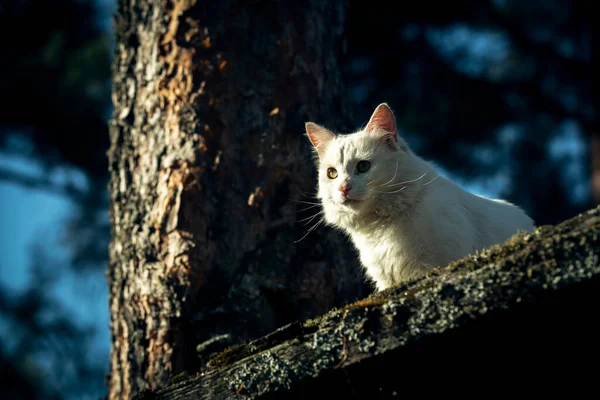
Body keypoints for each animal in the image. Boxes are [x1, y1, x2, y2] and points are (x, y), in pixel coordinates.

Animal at [304, 103, 536, 290]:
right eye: (332, 174)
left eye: (363, 167)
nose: (343, 188)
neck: (380, 226)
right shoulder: (386, 281)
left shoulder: (436, 263)